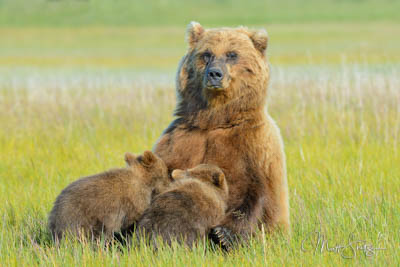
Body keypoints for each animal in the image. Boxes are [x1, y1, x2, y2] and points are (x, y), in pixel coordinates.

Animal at [152, 22, 288, 250]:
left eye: (232, 54)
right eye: (206, 54)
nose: (214, 74)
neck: (216, 119)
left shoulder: (254, 144)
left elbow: (257, 192)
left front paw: (224, 234)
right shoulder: (180, 139)